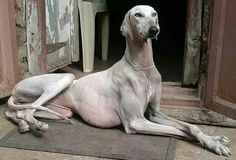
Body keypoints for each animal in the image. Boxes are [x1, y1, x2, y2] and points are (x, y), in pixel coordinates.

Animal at [5, 4, 230, 156]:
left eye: (154, 14)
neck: (142, 67)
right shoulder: (136, 122)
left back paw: (25, 125)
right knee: (27, 110)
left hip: (61, 110)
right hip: (64, 79)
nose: (154, 30)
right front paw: (212, 142)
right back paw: (36, 126)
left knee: (17, 111)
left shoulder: (154, 113)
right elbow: (177, 130)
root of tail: (15, 88)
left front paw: (214, 140)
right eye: (138, 14)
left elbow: (190, 126)